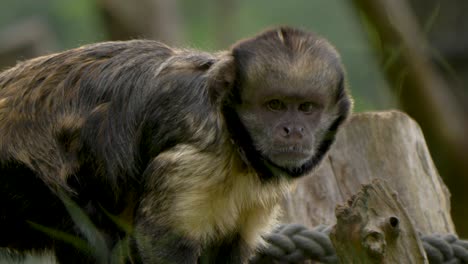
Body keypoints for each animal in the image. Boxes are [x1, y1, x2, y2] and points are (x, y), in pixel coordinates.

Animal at [0, 27, 352, 264]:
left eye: (306, 108)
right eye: (275, 106)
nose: (292, 130)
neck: (233, 136)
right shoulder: (194, 158)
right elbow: (162, 242)